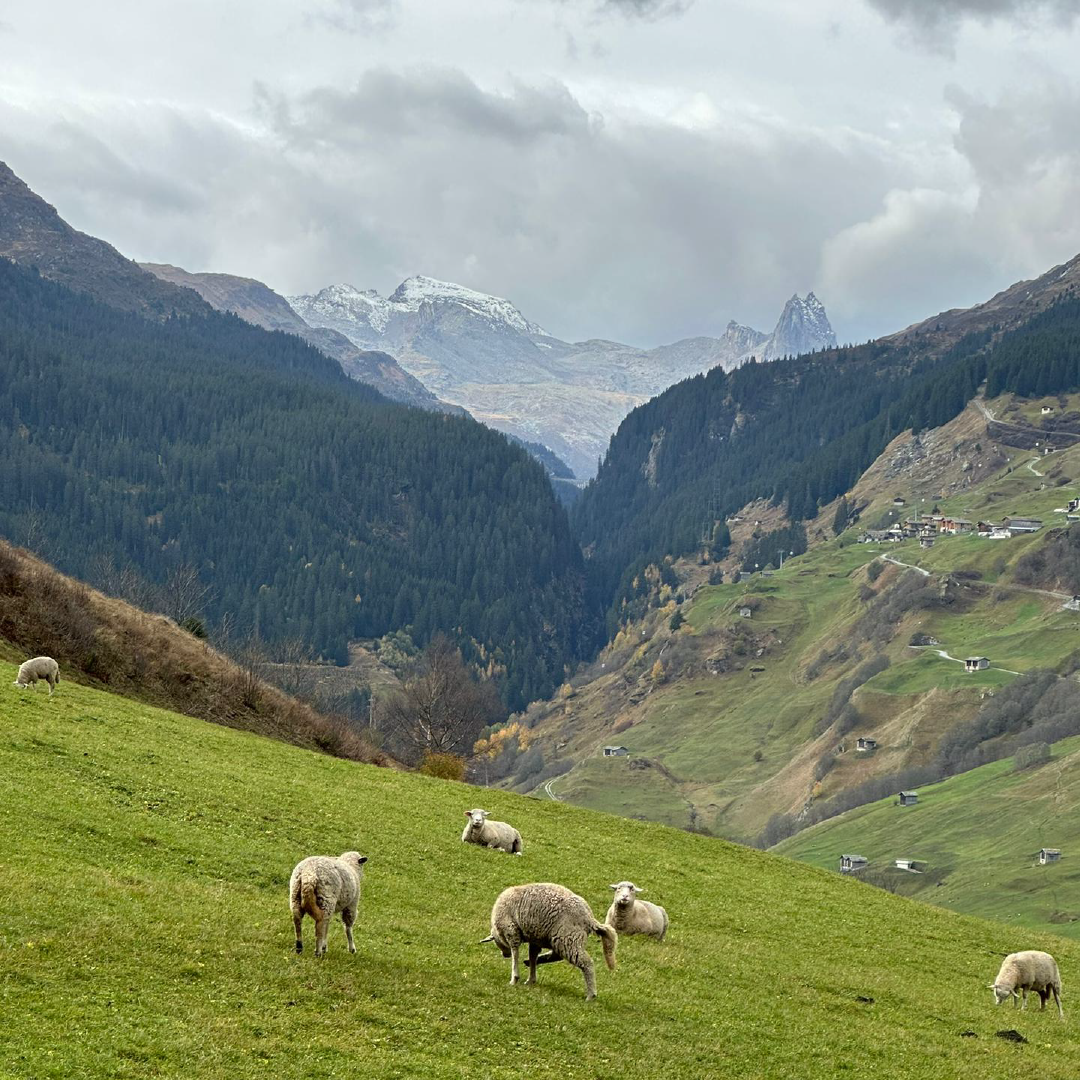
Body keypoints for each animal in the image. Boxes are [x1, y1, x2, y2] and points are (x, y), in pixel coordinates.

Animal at [481, 881, 617, 997]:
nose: (505, 955)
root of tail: (589, 918)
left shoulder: (511, 931)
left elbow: (515, 953)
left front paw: (514, 978)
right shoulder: (534, 938)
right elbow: (532, 956)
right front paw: (531, 979)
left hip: (567, 937)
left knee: (586, 963)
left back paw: (591, 995)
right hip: (563, 938)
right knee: (556, 955)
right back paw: (536, 960)